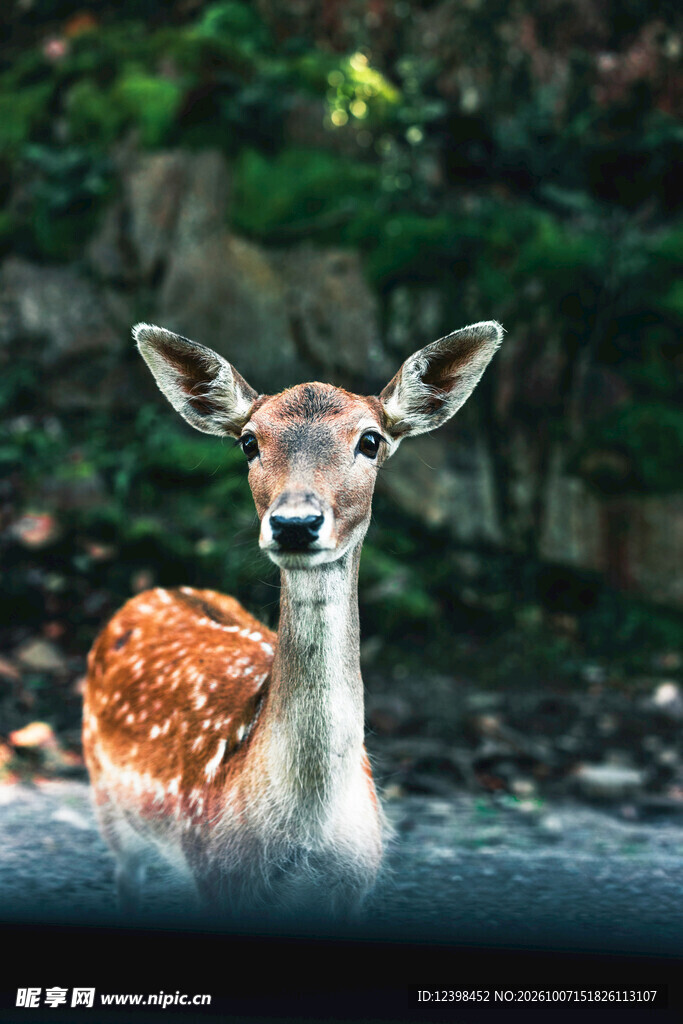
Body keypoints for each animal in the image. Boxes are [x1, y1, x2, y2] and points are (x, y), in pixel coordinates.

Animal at [83, 318, 503, 920]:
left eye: (370, 440)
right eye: (248, 441)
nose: (295, 523)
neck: (304, 834)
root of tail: (156, 591)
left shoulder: (355, 885)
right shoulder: (218, 874)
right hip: (109, 804)